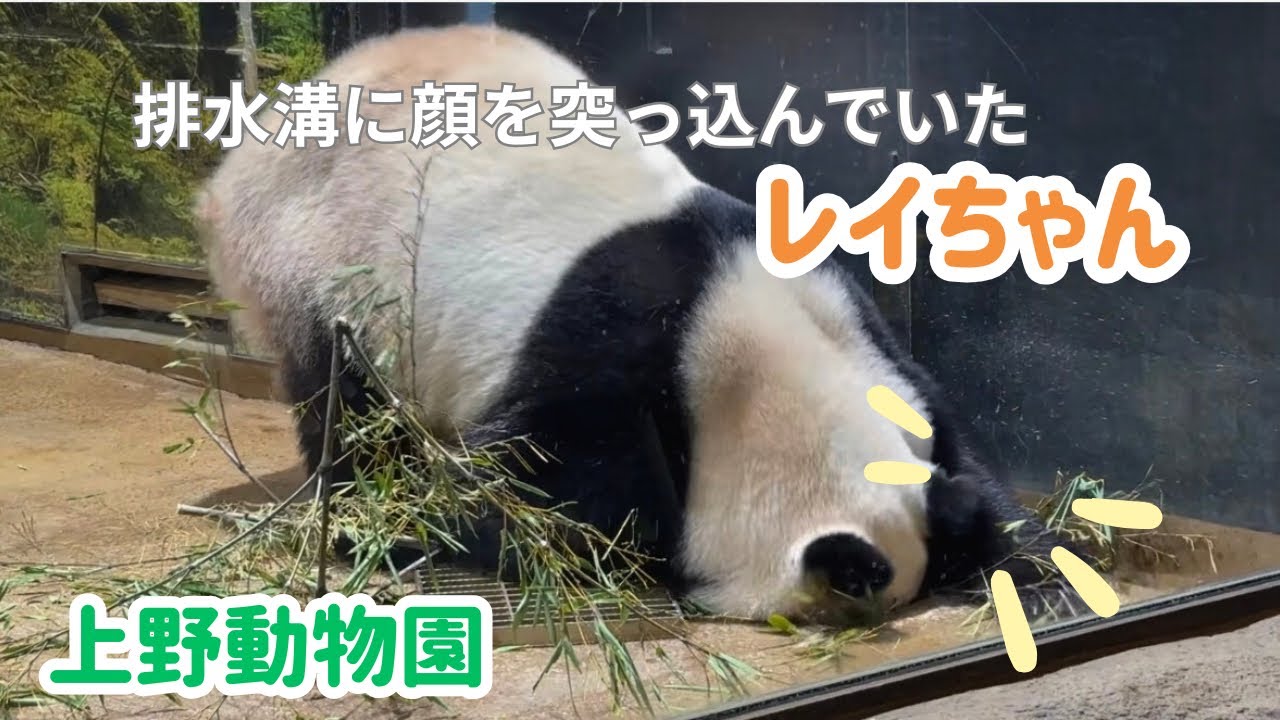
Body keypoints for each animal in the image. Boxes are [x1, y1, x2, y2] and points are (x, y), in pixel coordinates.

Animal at [197, 24, 1085, 625]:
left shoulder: (851, 319)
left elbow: (956, 443)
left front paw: (1034, 565)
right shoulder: (604, 358)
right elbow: (542, 490)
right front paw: (414, 528)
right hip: (321, 261)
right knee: (348, 402)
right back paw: (356, 500)